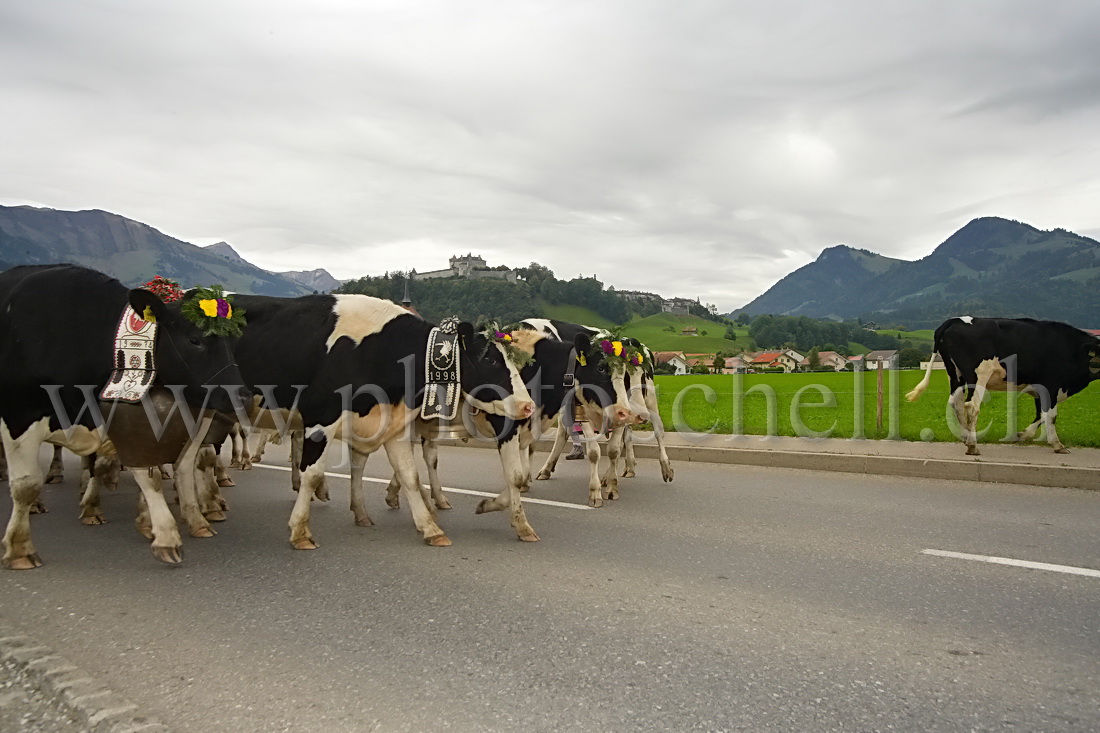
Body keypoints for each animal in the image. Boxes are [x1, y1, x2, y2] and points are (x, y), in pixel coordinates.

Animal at [0, 263, 249, 563]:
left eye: (232, 342)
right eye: (194, 340)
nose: (241, 396)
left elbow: (148, 472)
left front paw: (164, 529)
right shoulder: (18, 416)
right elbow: (25, 485)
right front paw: (19, 548)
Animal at [224, 290, 536, 548]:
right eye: (491, 361)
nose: (528, 406)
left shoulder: (393, 424)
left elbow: (410, 475)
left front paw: (431, 528)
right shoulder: (321, 415)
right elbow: (312, 472)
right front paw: (300, 531)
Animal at [906, 316, 1095, 453]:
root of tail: (954, 320)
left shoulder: (1041, 390)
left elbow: (1042, 414)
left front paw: (1022, 434)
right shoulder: (1051, 386)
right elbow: (1050, 415)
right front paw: (1057, 444)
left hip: (955, 375)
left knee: (956, 403)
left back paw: (965, 437)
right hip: (979, 375)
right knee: (971, 406)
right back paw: (973, 445)